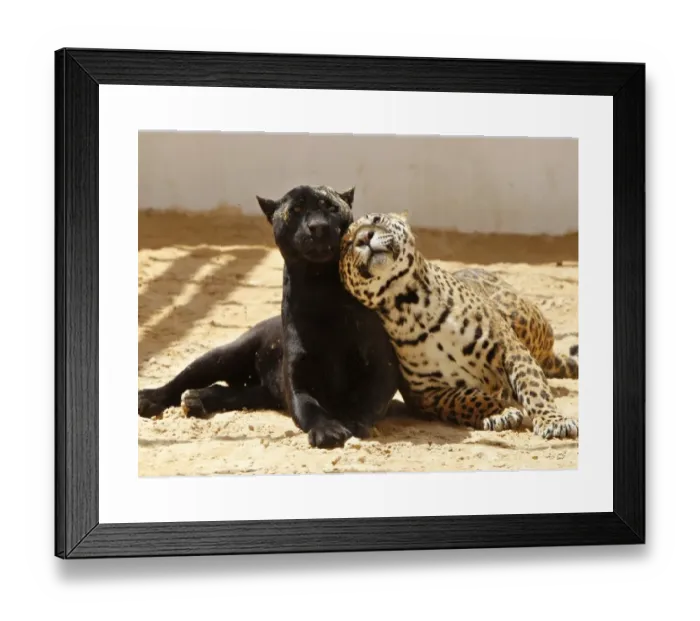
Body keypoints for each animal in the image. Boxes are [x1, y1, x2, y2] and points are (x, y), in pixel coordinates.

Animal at [338, 211, 579, 440]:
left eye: (377, 219)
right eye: (347, 243)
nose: (364, 237)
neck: (408, 304)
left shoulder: (512, 350)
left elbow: (534, 388)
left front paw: (553, 421)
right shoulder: (427, 394)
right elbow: (467, 399)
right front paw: (499, 412)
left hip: (522, 319)